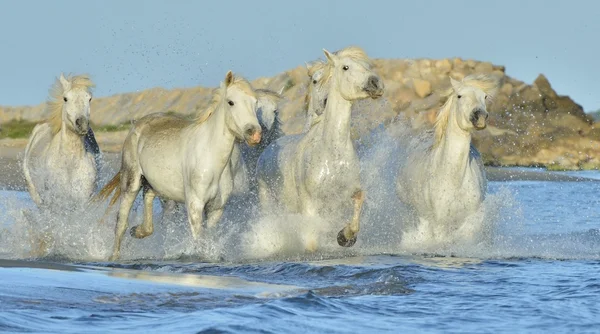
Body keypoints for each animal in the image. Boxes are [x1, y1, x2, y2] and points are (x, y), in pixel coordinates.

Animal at [23, 74, 99, 209]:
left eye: (89, 98)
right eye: (65, 98)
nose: (82, 124)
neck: (70, 165)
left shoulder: (83, 200)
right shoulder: (55, 201)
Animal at [98, 70, 262, 260]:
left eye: (255, 103)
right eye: (231, 102)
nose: (255, 134)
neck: (211, 157)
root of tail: (136, 125)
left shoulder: (216, 209)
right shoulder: (195, 205)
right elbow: (200, 241)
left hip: (156, 185)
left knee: (148, 199)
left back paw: (138, 231)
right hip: (131, 182)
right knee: (121, 222)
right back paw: (115, 255)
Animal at [256, 47, 384, 248]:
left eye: (367, 66)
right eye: (346, 67)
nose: (376, 84)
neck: (331, 153)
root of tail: (268, 149)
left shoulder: (346, 194)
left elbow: (359, 201)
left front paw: (345, 236)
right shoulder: (310, 205)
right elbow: (311, 242)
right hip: (268, 201)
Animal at [396, 73, 500, 243]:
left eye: (484, 96)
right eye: (459, 96)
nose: (480, 116)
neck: (452, 179)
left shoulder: (471, 217)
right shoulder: (440, 223)